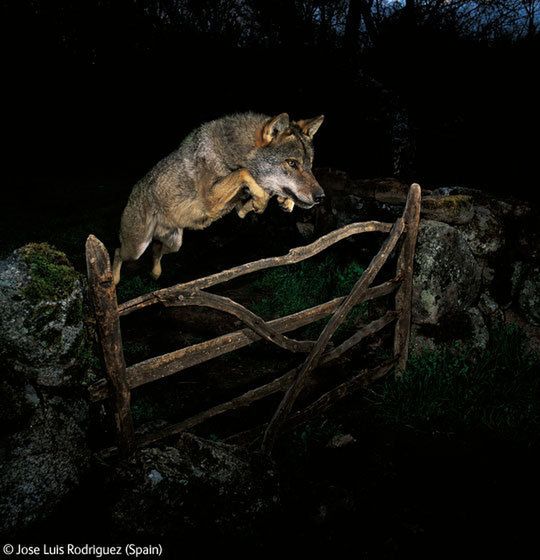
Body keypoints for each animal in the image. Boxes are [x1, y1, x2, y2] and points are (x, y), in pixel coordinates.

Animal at [113, 111, 324, 284]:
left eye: (309, 165)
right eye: (292, 163)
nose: (321, 196)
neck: (233, 152)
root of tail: (134, 191)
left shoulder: (236, 206)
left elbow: (252, 197)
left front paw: (283, 201)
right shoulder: (211, 199)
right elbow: (244, 173)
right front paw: (262, 200)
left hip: (174, 244)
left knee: (156, 250)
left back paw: (155, 273)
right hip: (136, 248)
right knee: (118, 252)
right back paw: (113, 280)